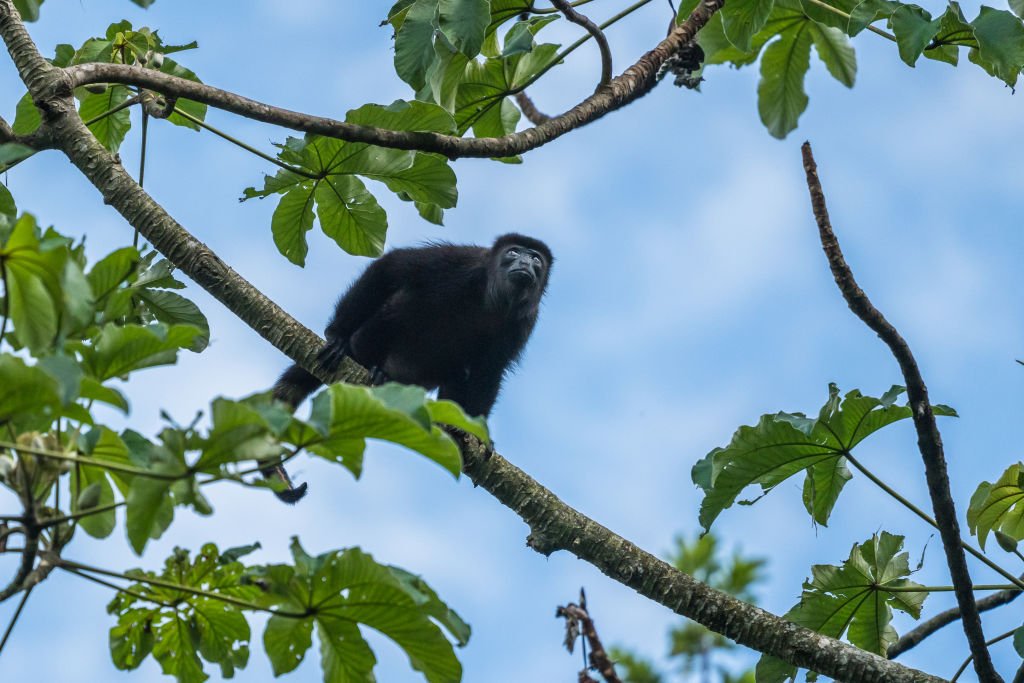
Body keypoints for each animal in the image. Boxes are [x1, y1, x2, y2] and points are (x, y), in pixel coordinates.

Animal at [264, 233, 552, 501]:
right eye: (513, 252)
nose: (525, 262)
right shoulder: (463, 262)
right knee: (402, 301)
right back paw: (372, 365)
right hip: (366, 342)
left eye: (536, 258)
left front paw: (475, 433)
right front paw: (337, 335)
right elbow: (393, 265)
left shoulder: (524, 322)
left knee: (461, 371)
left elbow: (490, 370)